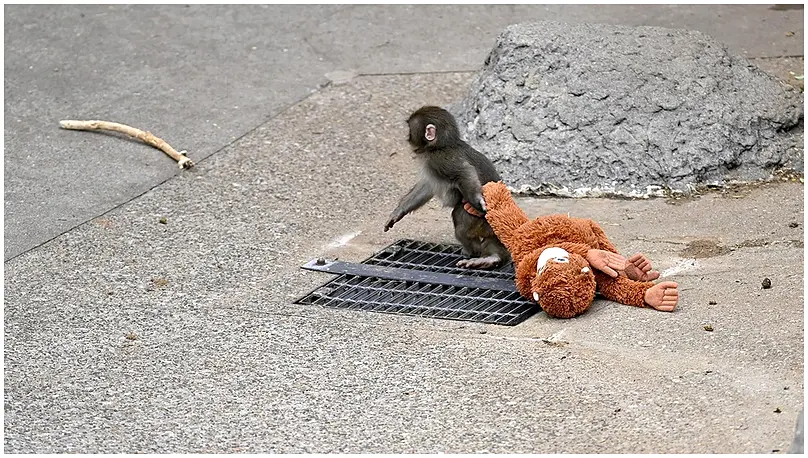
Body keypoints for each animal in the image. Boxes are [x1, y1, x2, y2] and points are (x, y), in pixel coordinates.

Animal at [383, 105, 510, 269]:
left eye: (410, 129)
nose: (408, 137)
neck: (441, 145)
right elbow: (426, 187)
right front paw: (398, 211)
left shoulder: (439, 159)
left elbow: (464, 172)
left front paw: (479, 200)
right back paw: (492, 258)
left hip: (479, 219)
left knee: (459, 219)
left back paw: (473, 252)